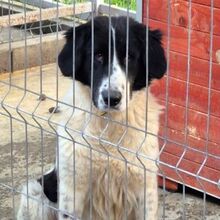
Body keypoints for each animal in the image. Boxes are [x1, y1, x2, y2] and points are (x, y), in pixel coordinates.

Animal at [17, 15, 166, 220]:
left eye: (129, 56)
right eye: (98, 55)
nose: (112, 98)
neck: (108, 127)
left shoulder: (145, 189)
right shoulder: (72, 191)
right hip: (35, 193)